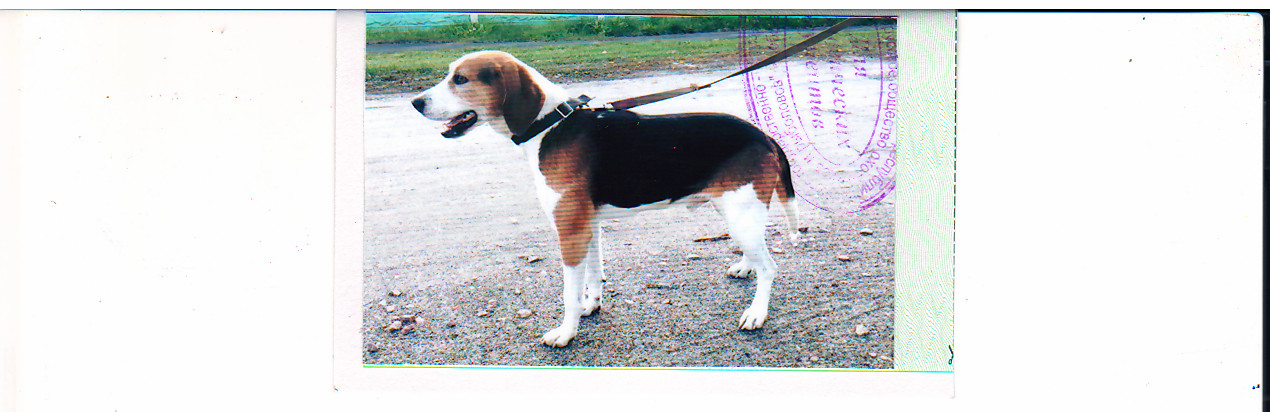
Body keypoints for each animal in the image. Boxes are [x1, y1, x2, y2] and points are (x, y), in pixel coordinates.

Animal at [411, 51, 799, 347]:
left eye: (460, 79)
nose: (416, 102)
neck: (549, 125)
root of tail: (763, 135)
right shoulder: (589, 226)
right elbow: (594, 275)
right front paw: (591, 306)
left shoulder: (570, 231)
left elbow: (569, 291)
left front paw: (565, 333)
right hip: (736, 211)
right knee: (756, 253)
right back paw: (745, 266)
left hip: (741, 214)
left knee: (770, 267)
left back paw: (756, 313)